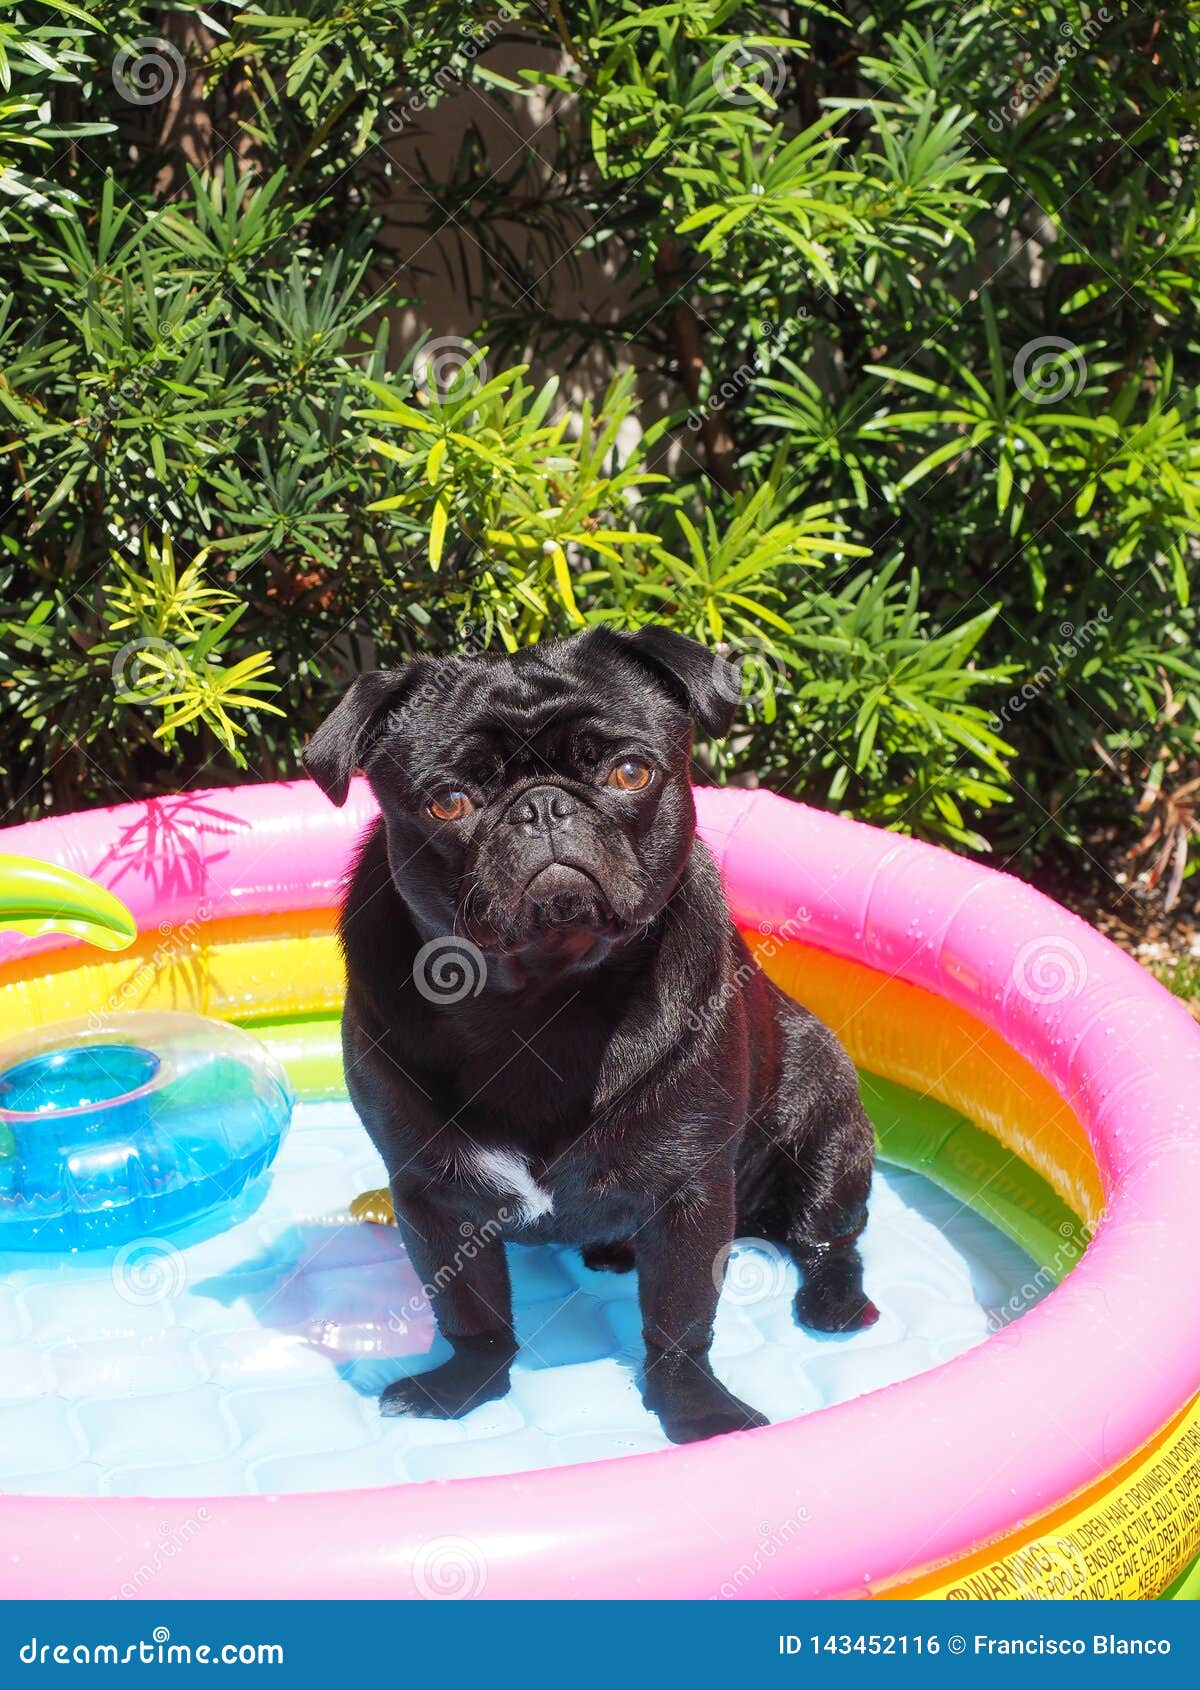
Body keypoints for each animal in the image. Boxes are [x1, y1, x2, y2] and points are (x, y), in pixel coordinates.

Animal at [305, 628, 878, 1446]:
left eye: (629, 772)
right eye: (448, 802)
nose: (543, 807)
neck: (543, 999)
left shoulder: (690, 1193)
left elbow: (678, 1320)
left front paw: (697, 1407)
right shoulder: (430, 1196)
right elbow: (471, 1311)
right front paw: (463, 1385)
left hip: (828, 1131)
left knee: (830, 1237)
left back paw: (834, 1305)